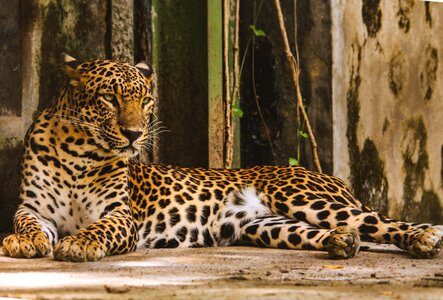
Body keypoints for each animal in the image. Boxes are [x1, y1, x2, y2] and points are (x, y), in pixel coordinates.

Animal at [1, 54, 442, 262]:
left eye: (145, 102)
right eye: (109, 98)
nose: (134, 134)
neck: (79, 153)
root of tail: (335, 179)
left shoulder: (120, 215)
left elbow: (98, 229)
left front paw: (78, 244)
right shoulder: (33, 208)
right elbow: (27, 224)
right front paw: (23, 242)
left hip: (305, 199)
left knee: (383, 221)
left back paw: (424, 238)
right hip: (266, 226)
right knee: (336, 232)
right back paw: (341, 243)